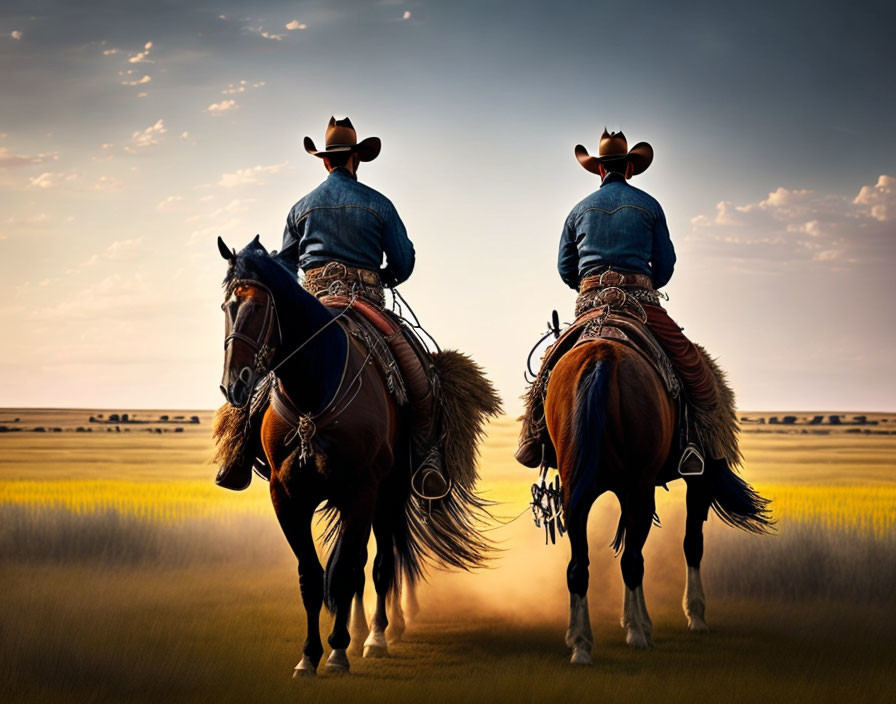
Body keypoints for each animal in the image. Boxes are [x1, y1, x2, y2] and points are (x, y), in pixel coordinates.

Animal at [214, 235, 500, 676]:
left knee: (380, 564)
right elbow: (312, 577)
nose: (235, 385)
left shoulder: (362, 490)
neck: (314, 388)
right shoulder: (287, 496)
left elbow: (348, 571)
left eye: (260, 307)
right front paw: (308, 656)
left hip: (390, 494)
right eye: (227, 306)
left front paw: (336, 653)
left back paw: (378, 635)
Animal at [544, 338, 772, 664]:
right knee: (633, 559)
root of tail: (601, 357)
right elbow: (691, 544)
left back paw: (582, 644)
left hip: (577, 492)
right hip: (643, 486)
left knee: (579, 566)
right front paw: (695, 615)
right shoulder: (696, 480)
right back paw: (638, 632)